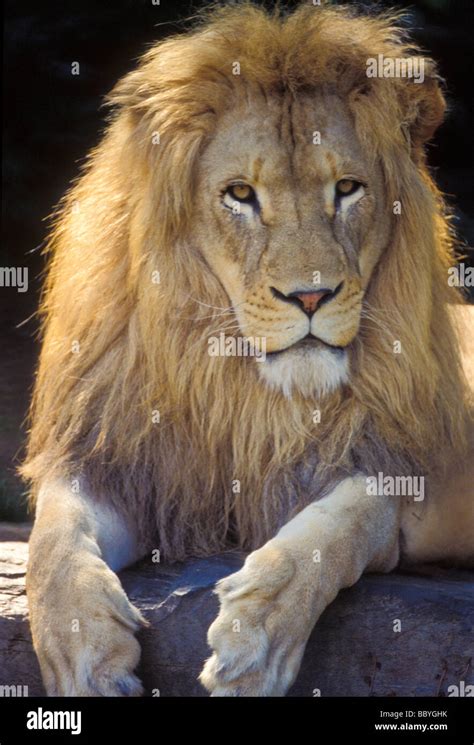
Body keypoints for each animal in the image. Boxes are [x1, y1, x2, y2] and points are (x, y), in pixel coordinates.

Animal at [22, 2, 474, 696]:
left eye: (348, 188)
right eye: (240, 194)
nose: (311, 296)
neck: (241, 386)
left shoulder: (403, 465)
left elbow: (343, 520)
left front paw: (257, 632)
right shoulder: (126, 463)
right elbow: (54, 539)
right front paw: (83, 650)